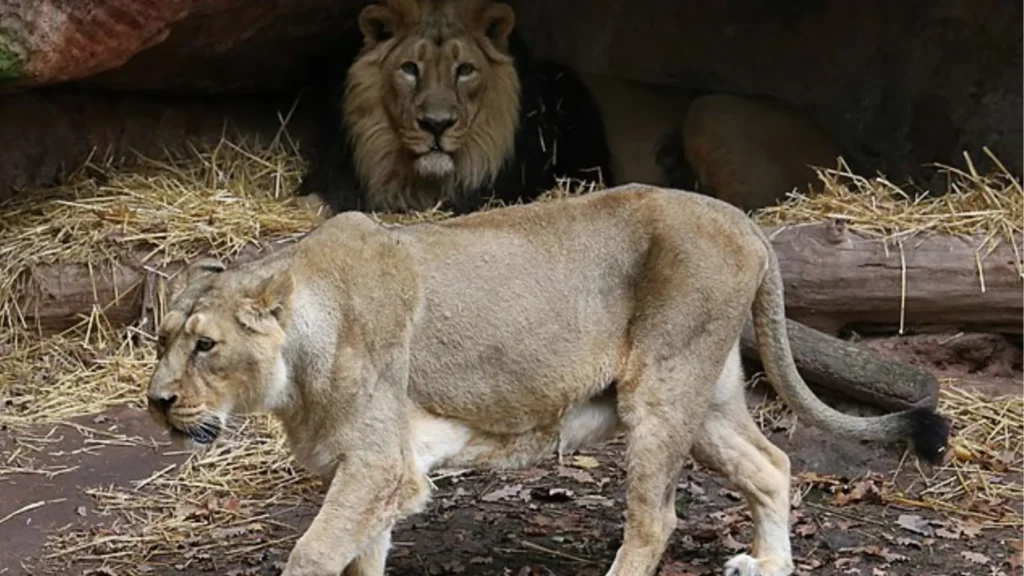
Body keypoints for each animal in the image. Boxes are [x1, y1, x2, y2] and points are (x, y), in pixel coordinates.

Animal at [147, 184, 949, 576]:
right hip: (707, 394)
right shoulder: (379, 471)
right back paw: (771, 565)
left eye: (206, 346)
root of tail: (743, 219)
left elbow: (314, 553)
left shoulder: (377, 464)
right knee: (773, 465)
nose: (157, 403)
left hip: (660, 391)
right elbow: (359, 557)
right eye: (161, 341)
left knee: (655, 520)